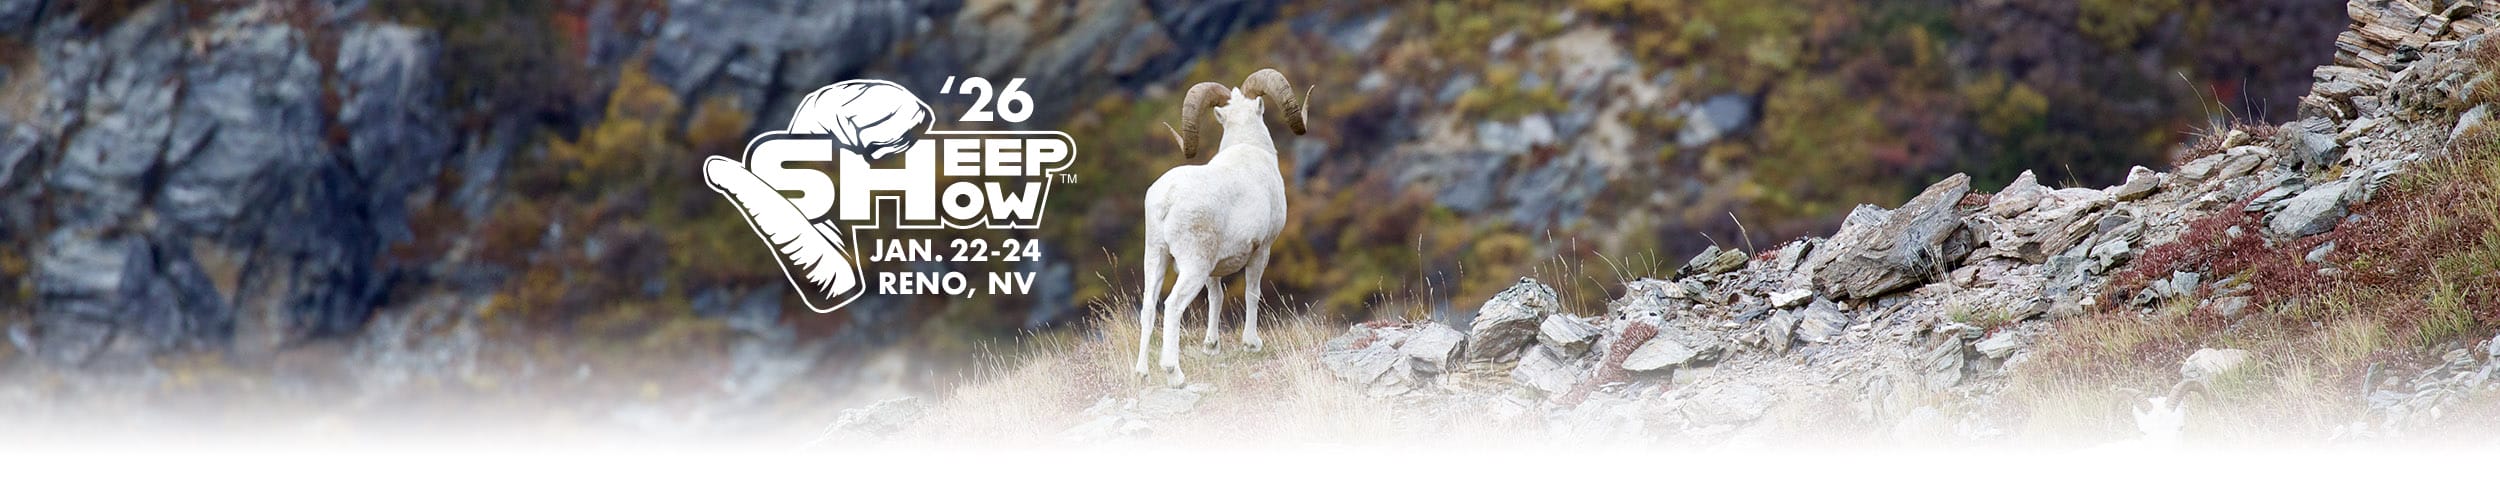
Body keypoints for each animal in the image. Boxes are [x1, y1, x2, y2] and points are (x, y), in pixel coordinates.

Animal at [1133, 68, 1311, 386]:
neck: (1249, 149)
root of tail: (1168, 199)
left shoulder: (1214, 269)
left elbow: (1215, 297)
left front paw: (1211, 347)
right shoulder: (1261, 251)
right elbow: (1253, 293)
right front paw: (1252, 344)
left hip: (1156, 257)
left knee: (1149, 307)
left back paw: (1142, 373)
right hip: (1193, 266)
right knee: (1172, 306)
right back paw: (1174, 374)